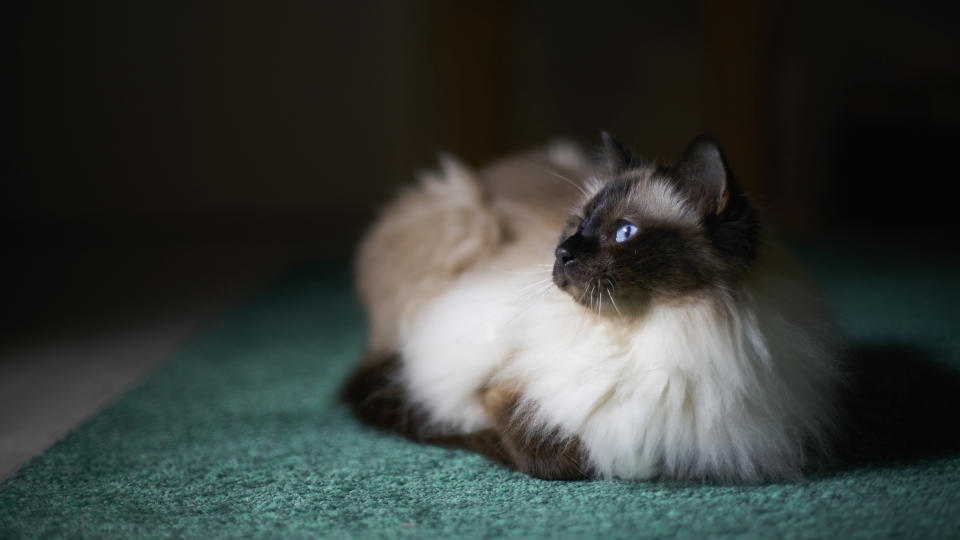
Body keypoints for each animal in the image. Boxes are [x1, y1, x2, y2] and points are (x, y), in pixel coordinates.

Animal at [342, 134, 836, 480]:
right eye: (577, 225)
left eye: (624, 232)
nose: (561, 253)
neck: (656, 331)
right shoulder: (499, 387)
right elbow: (558, 457)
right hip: (459, 223)